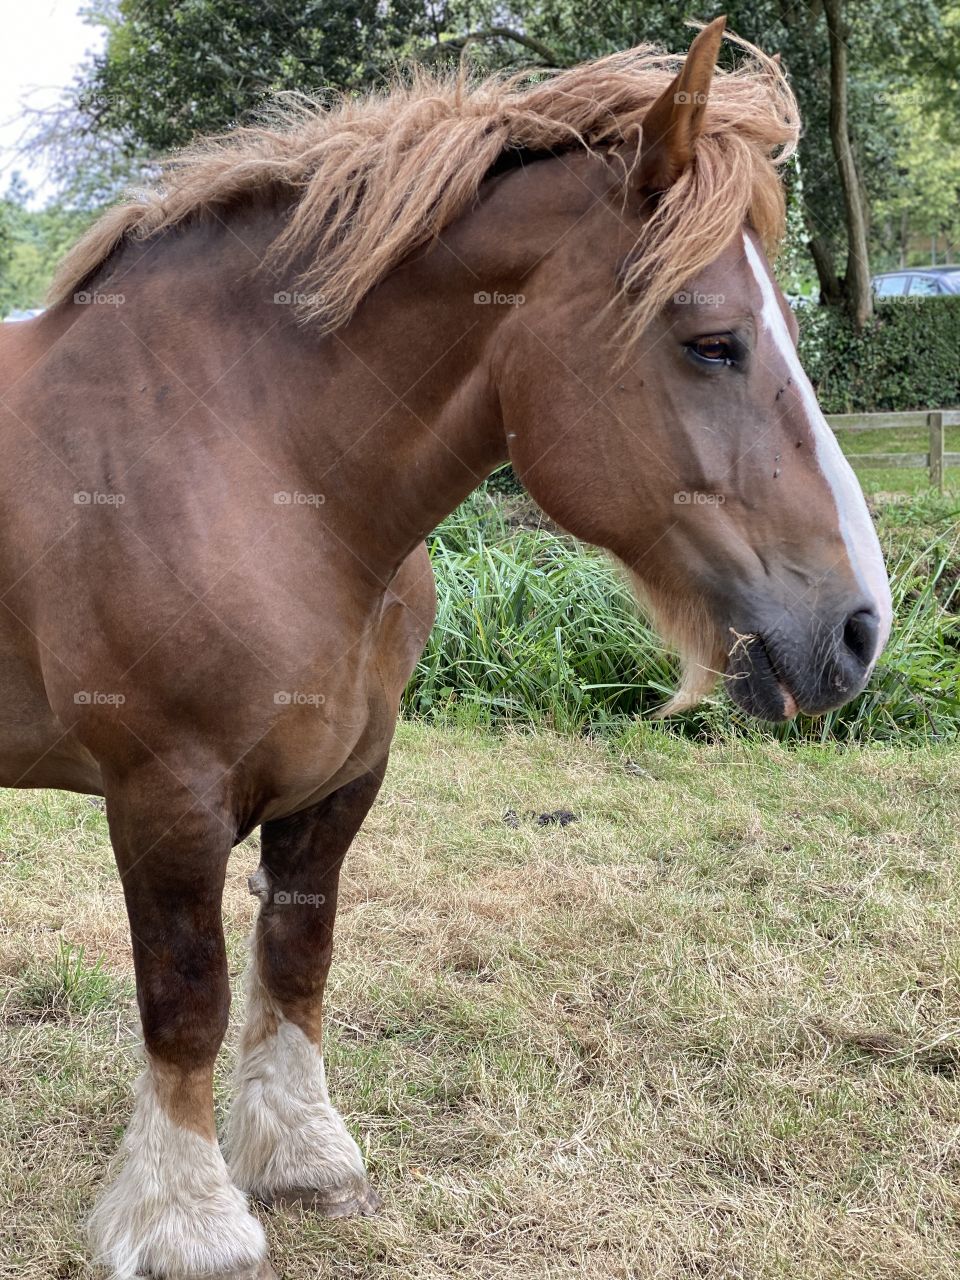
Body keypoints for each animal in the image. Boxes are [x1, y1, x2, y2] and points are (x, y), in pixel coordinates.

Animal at [0, 18, 890, 1278]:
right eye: (712, 342)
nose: (860, 627)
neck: (243, 454)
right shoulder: (166, 791)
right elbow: (188, 997)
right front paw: (186, 1216)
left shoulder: (340, 779)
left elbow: (295, 960)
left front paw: (303, 1156)